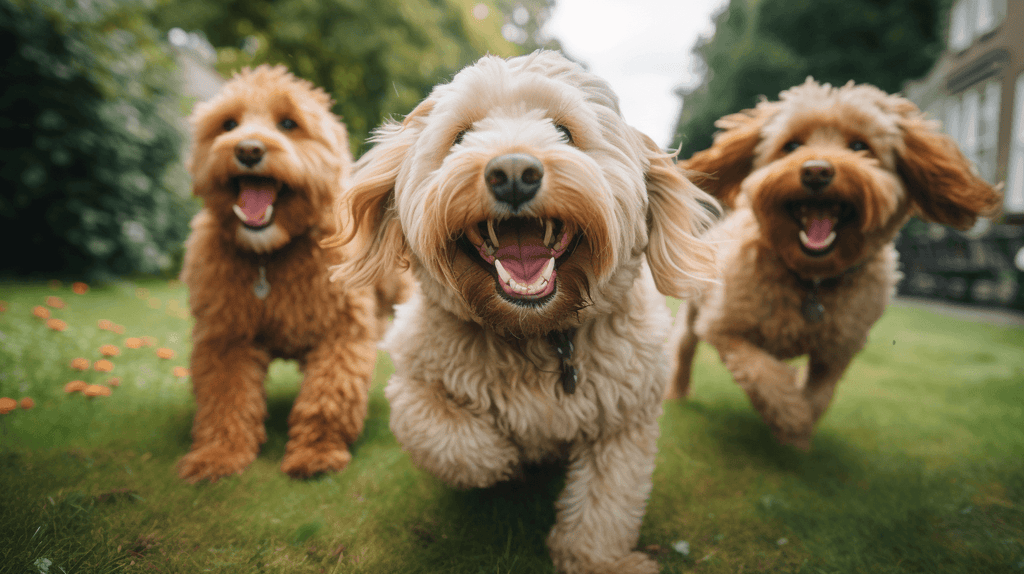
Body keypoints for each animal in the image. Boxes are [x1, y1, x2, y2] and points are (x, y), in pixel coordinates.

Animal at [178, 64, 405, 480]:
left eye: (288, 123)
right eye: (228, 124)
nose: (248, 148)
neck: (270, 256)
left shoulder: (341, 333)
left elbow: (328, 393)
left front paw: (316, 452)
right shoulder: (225, 338)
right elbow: (225, 396)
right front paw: (219, 455)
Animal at [663, 78, 999, 450]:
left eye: (860, 146)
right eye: (792, 145)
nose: (816, 171)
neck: (811, 279)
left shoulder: (838, 349)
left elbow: (819, 394)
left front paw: (798, 430)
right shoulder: (725, 327)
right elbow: (764, 374)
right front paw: (792, 420)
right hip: (693, 314)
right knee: (682, 351)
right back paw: (676, 393)